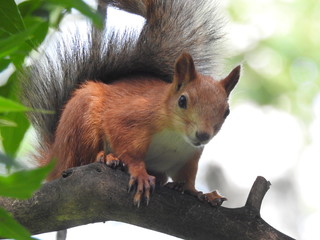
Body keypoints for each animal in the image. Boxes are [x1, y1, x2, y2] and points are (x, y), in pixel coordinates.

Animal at [20, 0, 240, 206]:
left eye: (227, 111)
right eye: (182, 100)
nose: (203, 135)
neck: (175, 135)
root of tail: (55, 158)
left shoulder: (188, 156)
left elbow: (187, 180)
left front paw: (202, 194)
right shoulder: (132, 117)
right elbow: (127, 145)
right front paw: (139, 173)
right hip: (81, 123)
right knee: (79, 161)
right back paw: (106, 158)